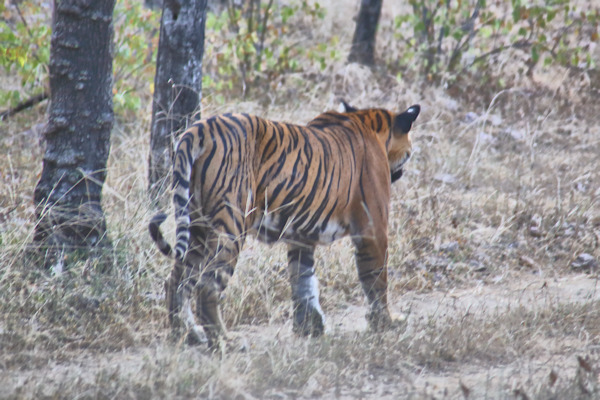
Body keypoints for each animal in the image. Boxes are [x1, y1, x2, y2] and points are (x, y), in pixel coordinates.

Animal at [149, 101, 422, 348]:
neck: (369, 124)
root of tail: (200, 128)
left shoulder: (301, 236)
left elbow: (303, 281)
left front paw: (309, 326)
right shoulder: (373, 229)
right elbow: (376, 279)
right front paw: (384, 322)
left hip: (197, 228)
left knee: (176, 282)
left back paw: (187, 335)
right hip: (230, 225)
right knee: (206, 285)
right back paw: (224, 341)